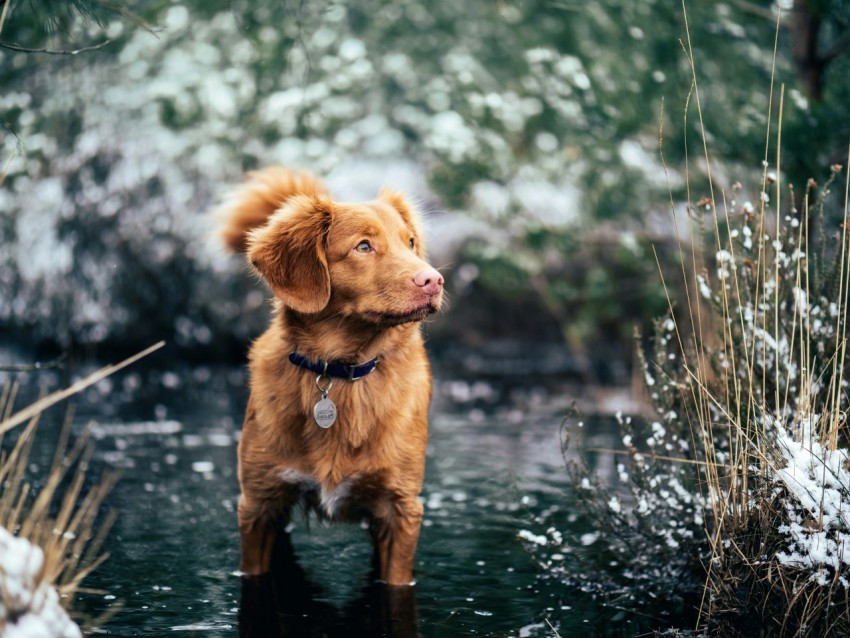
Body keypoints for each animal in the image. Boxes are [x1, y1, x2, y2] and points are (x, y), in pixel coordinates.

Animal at [215, 168, 444, 588]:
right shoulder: (258, 504)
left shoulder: (401, 510)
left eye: (410, 242)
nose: (434, 281)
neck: (339, 371)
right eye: (363, 247)